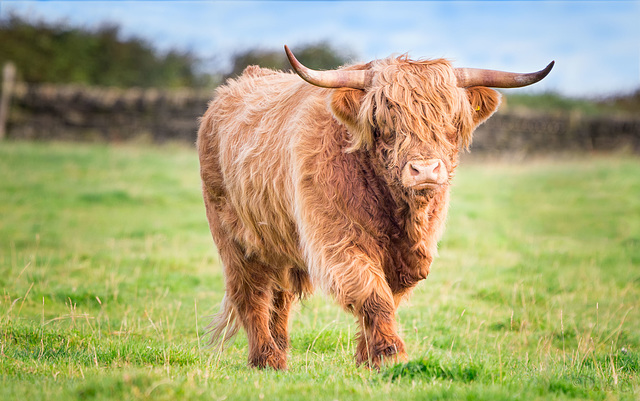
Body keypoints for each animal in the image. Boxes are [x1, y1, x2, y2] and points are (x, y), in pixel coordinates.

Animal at [198, 44, 552, 368]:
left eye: (451, 120)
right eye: (386, 120)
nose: (425, 170)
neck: (398, 212)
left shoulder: (409, 254)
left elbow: (387, 296)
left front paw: (368, 357)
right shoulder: (337, 240)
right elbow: (371, 292)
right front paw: (389, 354)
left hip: (279, 243)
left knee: (280, 297)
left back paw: (280, 353)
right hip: (234, 238)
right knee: (252, 294)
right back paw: (266, 358)